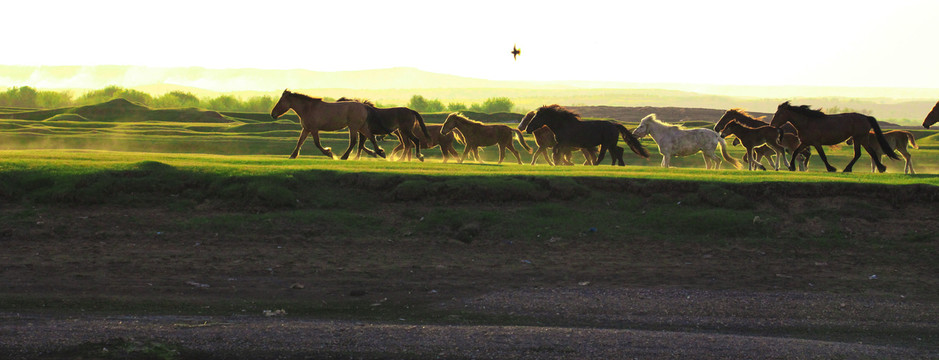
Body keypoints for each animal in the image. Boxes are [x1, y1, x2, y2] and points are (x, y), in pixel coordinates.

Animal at [520, 104, 648, 166]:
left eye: (537, 117)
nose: (527, 128)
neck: (563, 125)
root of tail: (614, 125)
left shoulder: (563, 143)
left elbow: (557, 152)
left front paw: (558, 162)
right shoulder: (562, 144)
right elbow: (559, 153)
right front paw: (561, 162)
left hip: (606, 143)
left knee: (604, 155)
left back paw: (596, 164)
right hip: (609, 143)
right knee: (617, 151)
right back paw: (617, 165)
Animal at [772, 102, 904, 172]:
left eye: (779, 114)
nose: (772, 124)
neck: (807, 122)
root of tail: (866, 117)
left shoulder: (816, 143)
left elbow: (823, 156)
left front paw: (831, 168)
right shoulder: (805, 142)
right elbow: (795, 153)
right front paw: (792, 167)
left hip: (859, 138)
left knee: (861, 153)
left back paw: (849, 168)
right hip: (861, 139)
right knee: (867, 153)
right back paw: (880, 168)